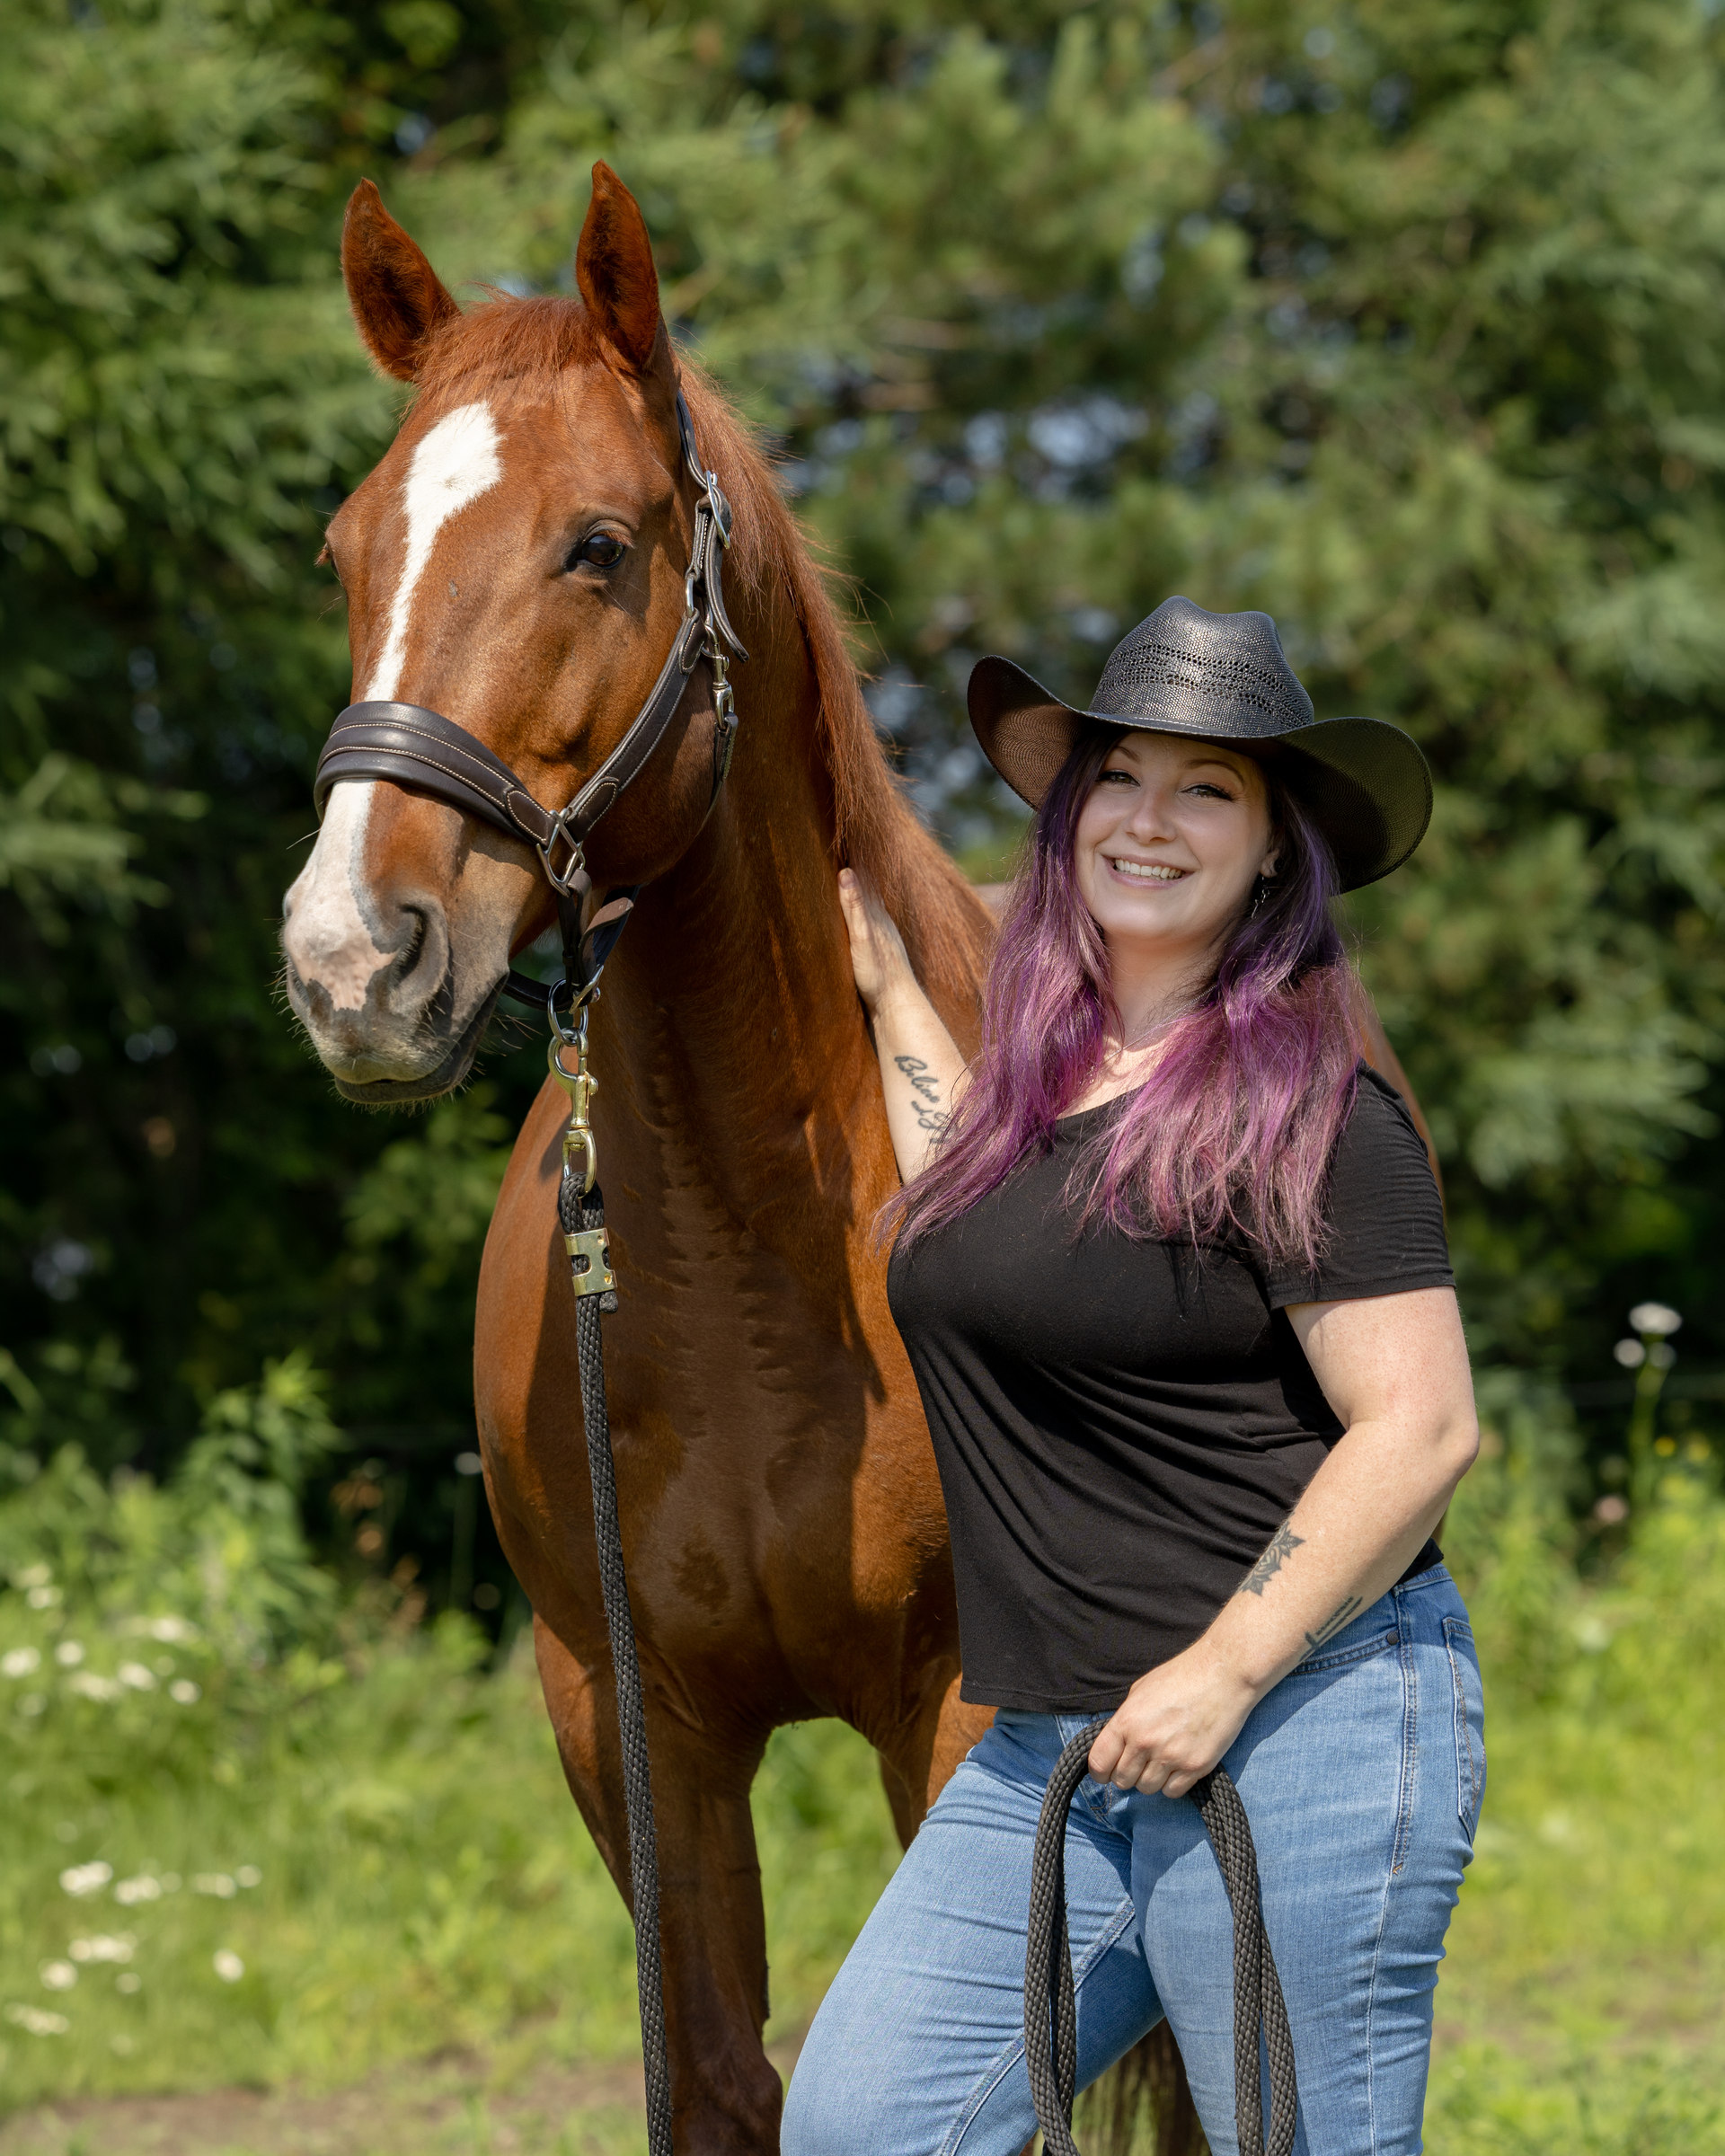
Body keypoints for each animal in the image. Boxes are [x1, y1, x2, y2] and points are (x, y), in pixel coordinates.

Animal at [282, 162, 1431, 2156]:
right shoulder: (628, 1719)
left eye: (598, 545)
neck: (750, 1265)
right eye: (350, 552)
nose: (355, 959)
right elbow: (717, 2076)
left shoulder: (962, 1711)